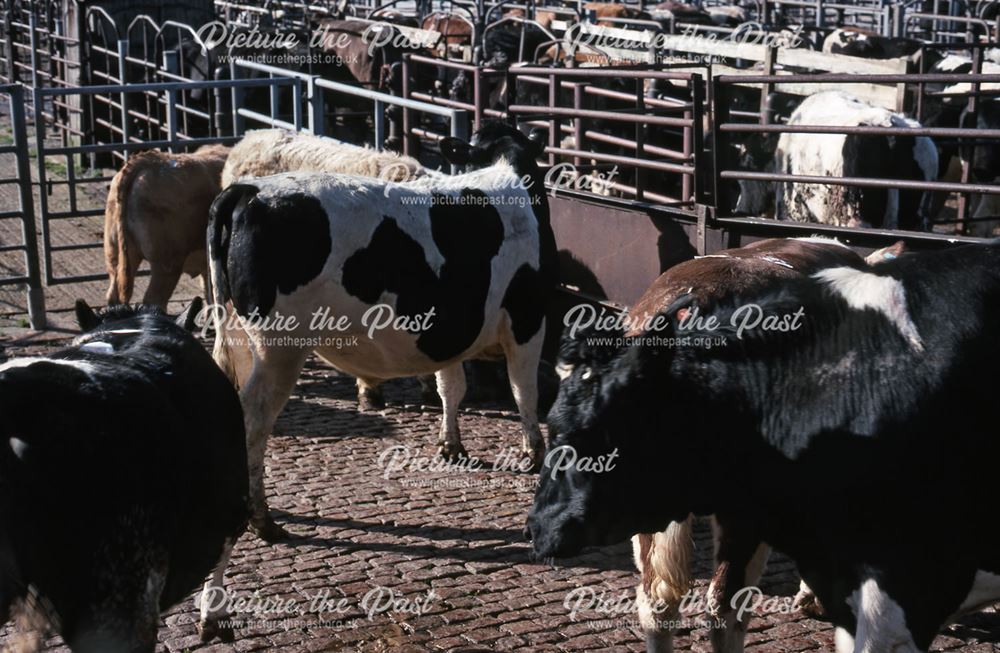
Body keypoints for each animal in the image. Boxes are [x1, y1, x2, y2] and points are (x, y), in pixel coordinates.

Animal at [208, 121, 560, 540]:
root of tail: (248, 191)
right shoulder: (529, 320)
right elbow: (524, 391)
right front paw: (533, 453)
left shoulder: (448, 330)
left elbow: (451, 387)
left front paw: (451, 446)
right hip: (279, 348)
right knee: (255, 420)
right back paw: (263, 519)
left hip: (238, 337)